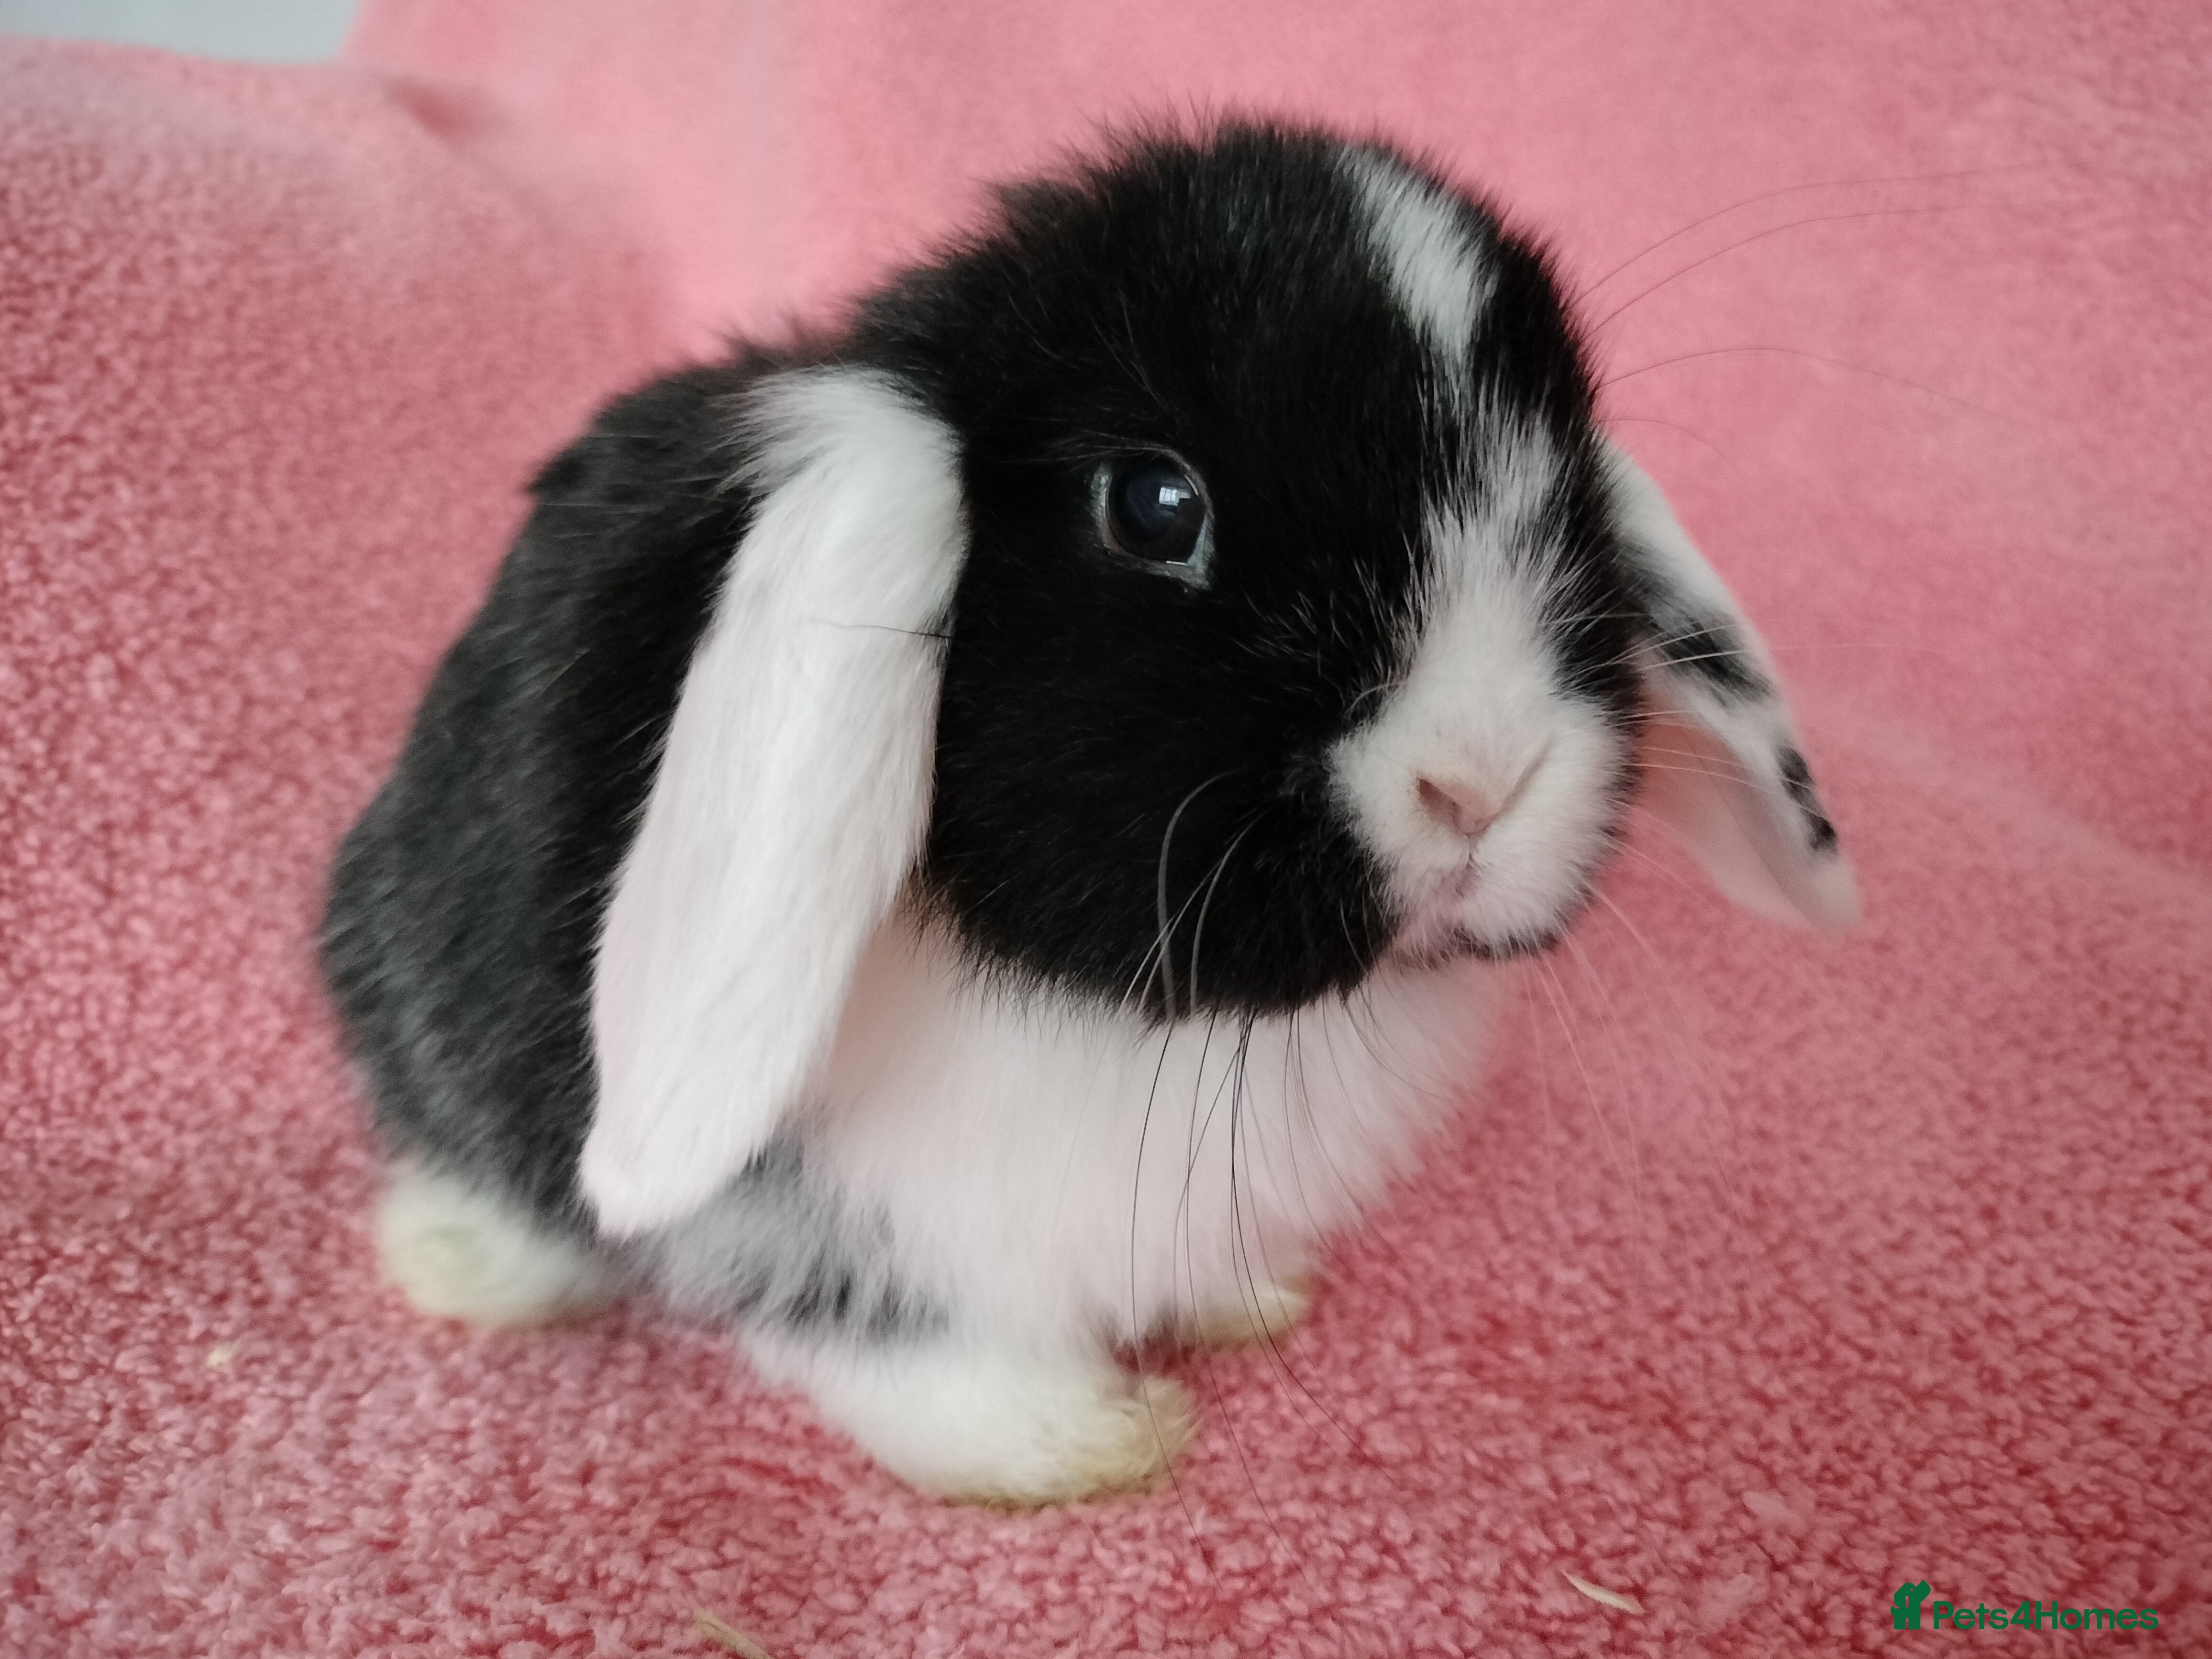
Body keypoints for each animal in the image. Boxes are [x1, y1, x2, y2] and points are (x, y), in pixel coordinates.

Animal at [321, 121, 1856, 1505]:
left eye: (1578, 507)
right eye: (1155, 505)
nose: (1479, 780)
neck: (1153, 1022)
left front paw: (1243, 1301)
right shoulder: (838, 1218)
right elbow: (891, 1339)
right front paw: (1077, 1444)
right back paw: (464, 1262)